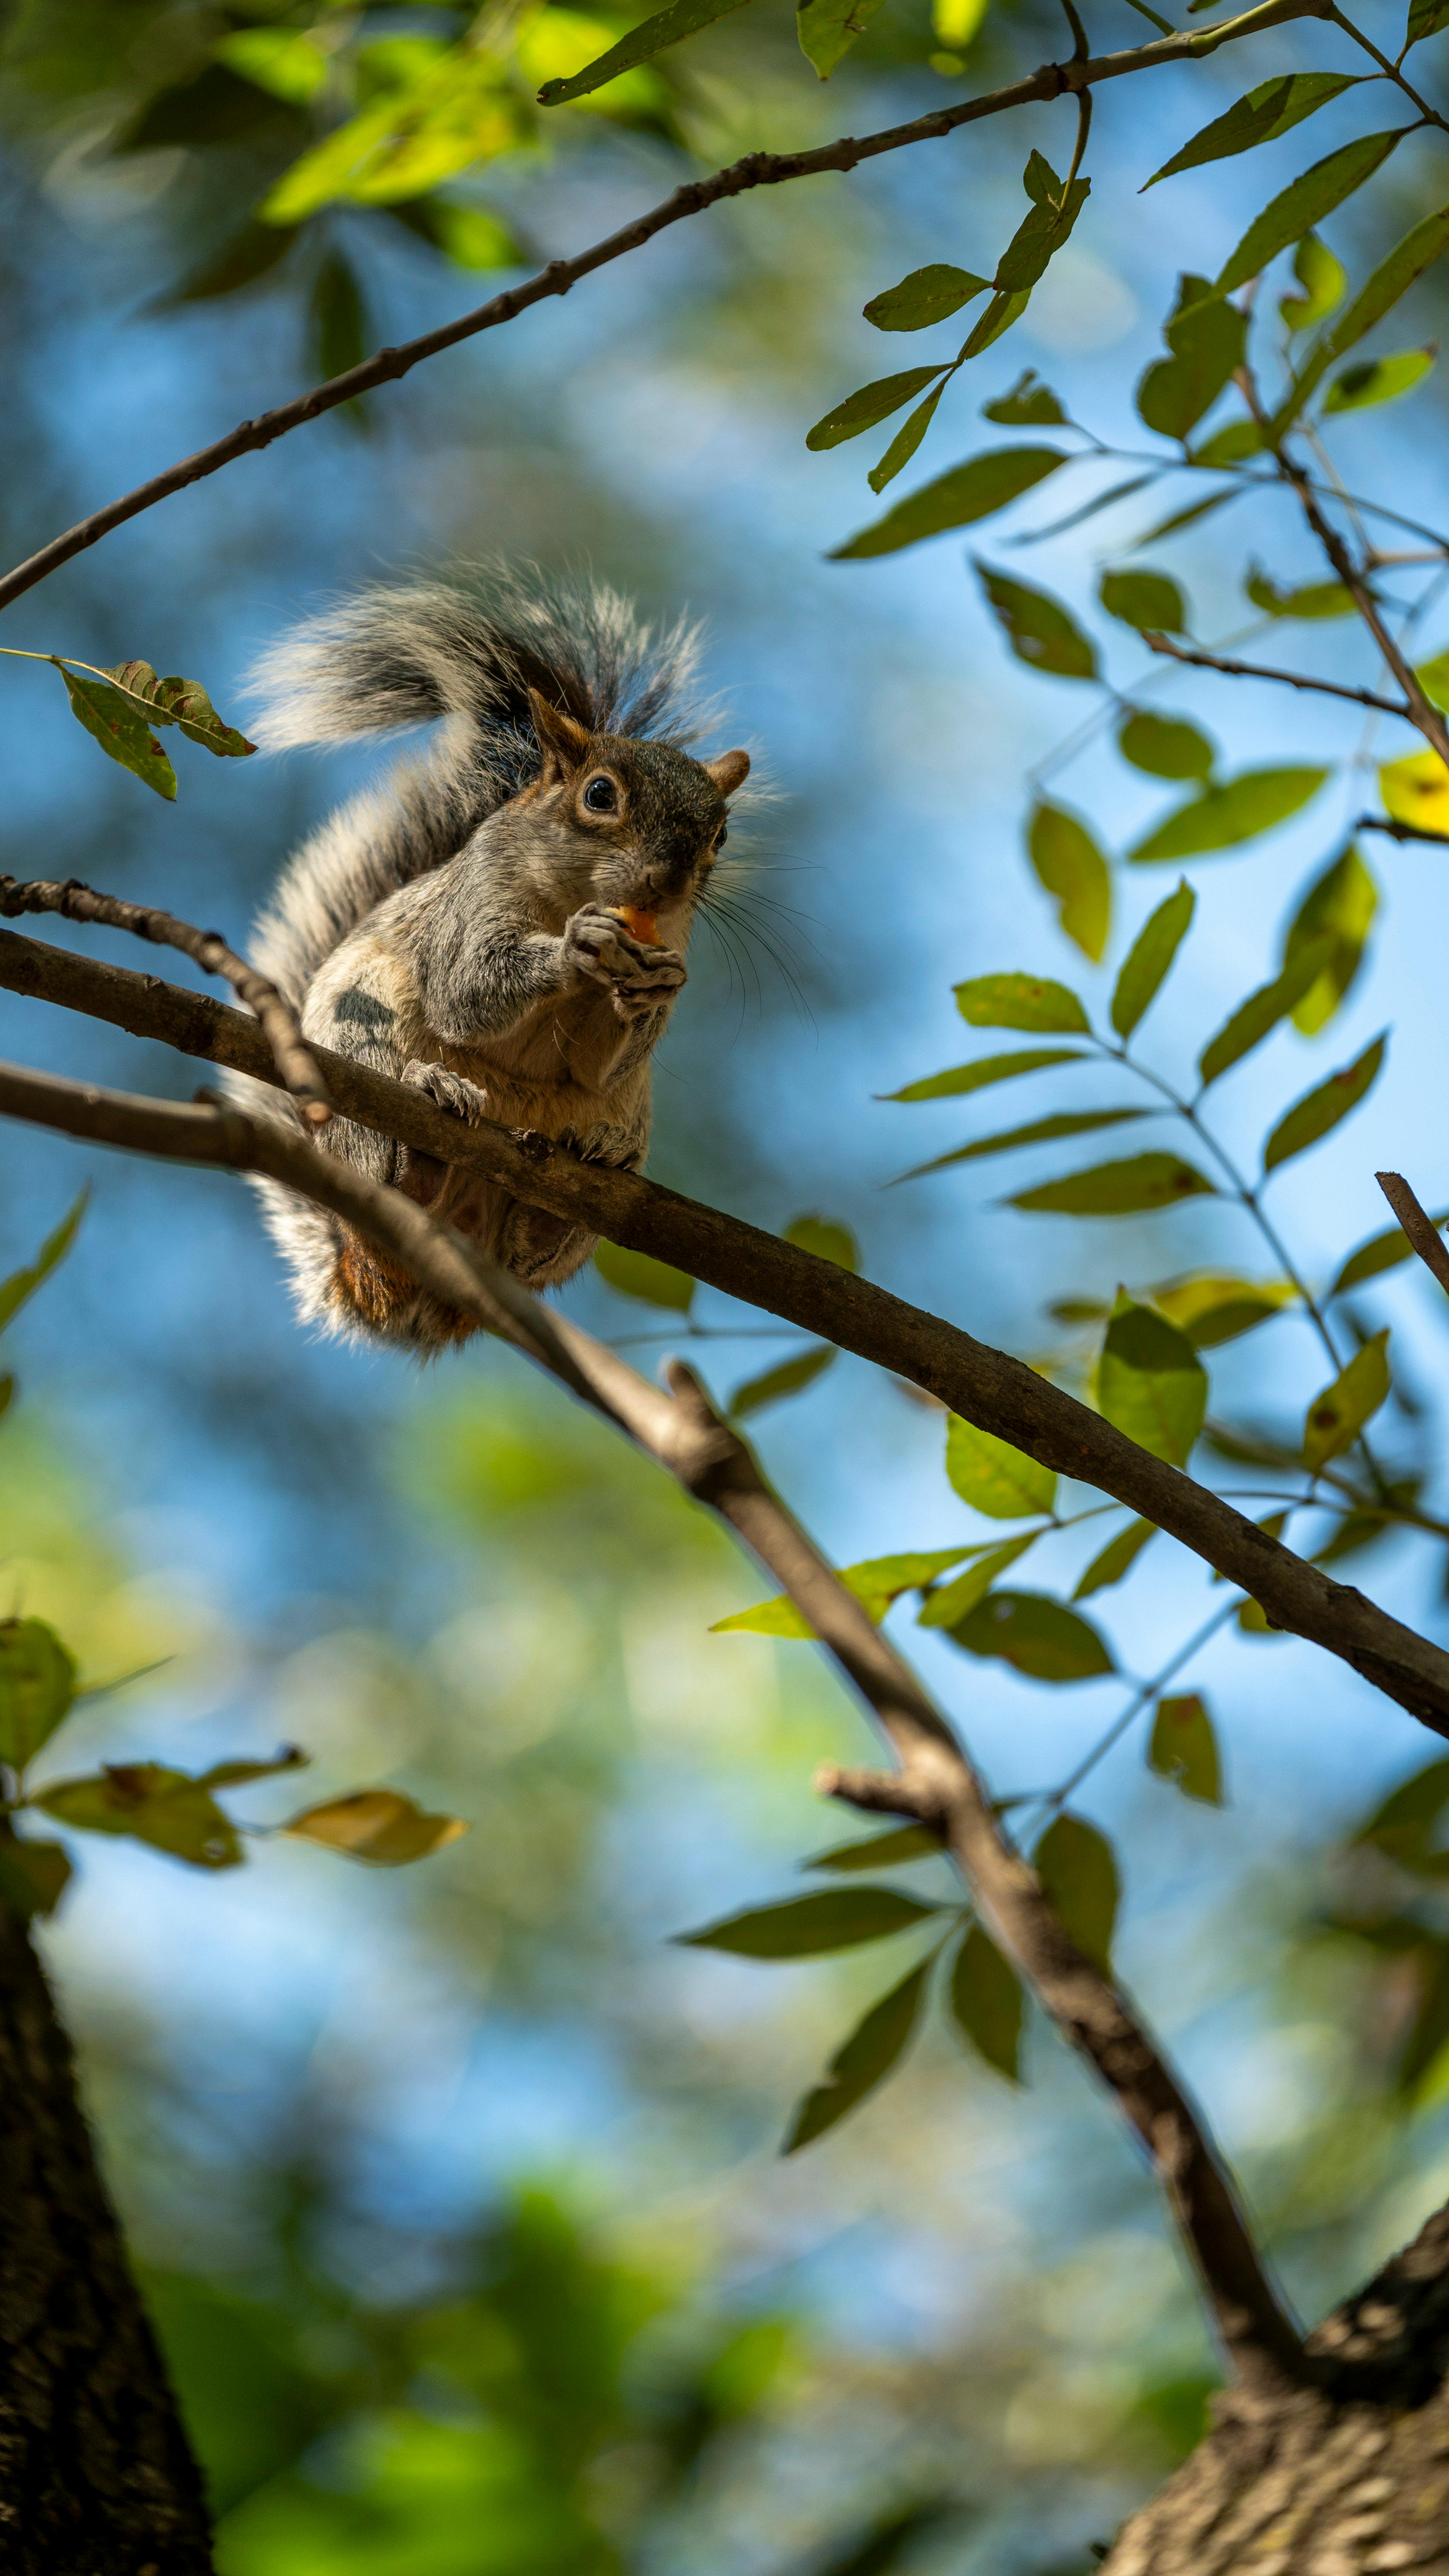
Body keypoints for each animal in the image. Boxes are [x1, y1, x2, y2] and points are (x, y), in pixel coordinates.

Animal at [230, 574, 748, 1350]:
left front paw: (657, 989)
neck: (569, 896)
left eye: (720, 834)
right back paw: (426, 1133)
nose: (666, 882)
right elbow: (466, 993)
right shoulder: (467, 913)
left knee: (532, 1251)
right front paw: (573, 949)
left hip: (609, 1142)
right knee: (387, 1182)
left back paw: (580, 1178)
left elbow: (597, 1063)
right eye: (600, 795)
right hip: (356, 1054)